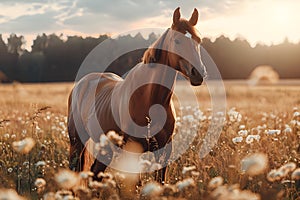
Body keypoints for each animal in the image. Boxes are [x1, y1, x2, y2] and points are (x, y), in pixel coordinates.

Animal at [67, 7, 206, 183]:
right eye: (177, 41)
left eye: (199, 40)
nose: (198, 73)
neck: (150, 98)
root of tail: (81, 84)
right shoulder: (134, 150)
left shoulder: (165, 150)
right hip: (77, 142)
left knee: (95, 172)